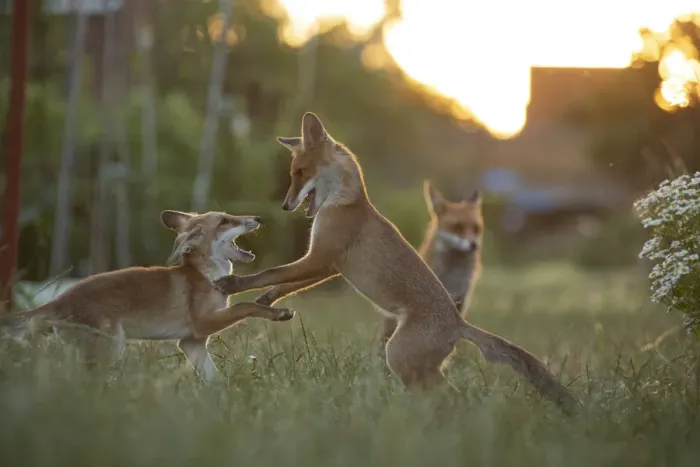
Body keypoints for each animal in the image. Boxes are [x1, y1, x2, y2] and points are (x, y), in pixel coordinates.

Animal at [2, 210, 295, 380]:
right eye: (224, 221)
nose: (257, 219)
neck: (205, 276)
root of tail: (60, 298)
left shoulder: (191, 342)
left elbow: (215, 383)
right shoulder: (202, 323)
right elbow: (247, 306)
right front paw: (278, 312)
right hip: (109, 350)